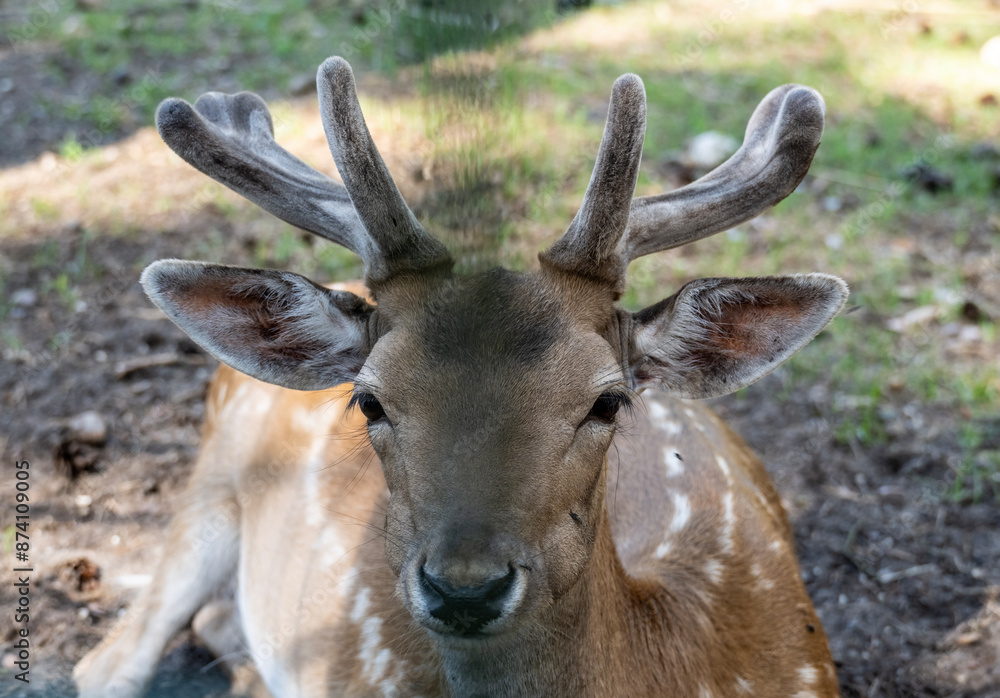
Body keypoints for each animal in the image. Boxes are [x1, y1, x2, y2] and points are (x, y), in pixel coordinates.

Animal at [74, 56, 846, 697]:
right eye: (369, 401)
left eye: (608, 402)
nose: (465, 590)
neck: (687, 652)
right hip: (205, 492)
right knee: (105, 665)